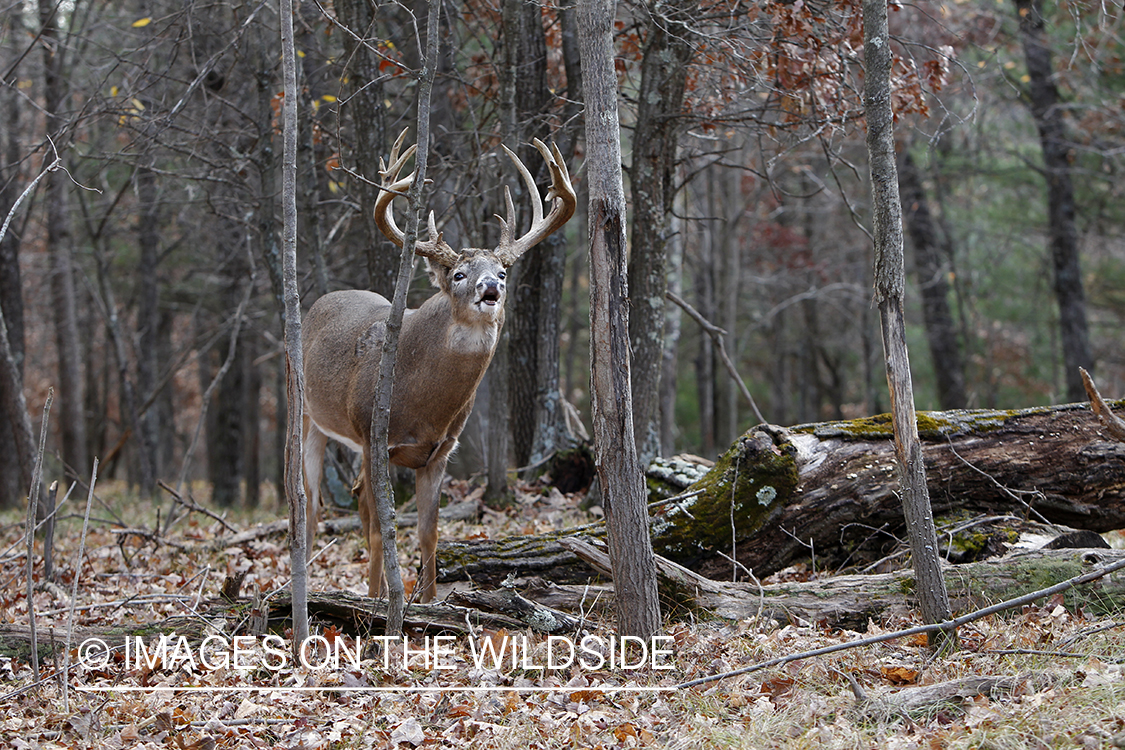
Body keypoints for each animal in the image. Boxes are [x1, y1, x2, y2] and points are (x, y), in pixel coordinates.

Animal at [299, 133, 576, 602]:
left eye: (503, 271)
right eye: (460, 273)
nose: (490, 287)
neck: (422, 403)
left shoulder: (440, 451)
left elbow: (429, 533)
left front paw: (427, 601)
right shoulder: (374, 438)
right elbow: (382, 531)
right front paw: (376, 601)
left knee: (353, 500)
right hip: (306, 414)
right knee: (311, 505)